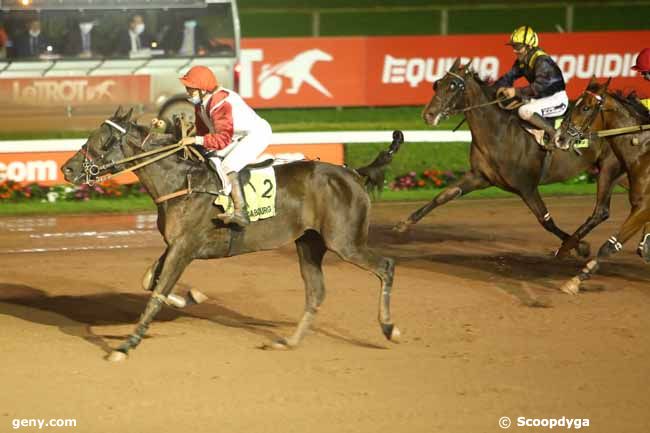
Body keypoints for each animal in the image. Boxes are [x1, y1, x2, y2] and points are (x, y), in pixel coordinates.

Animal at [59, 108, 400, 362]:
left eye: (103, 141)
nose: (67, 169)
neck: (180, 182)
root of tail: (353, 173)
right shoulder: (176, 245)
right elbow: (149, 281)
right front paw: (190, 297)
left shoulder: (184, 247)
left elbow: (155, 294)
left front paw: (126, 345)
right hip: (309, 243)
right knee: (315, 292)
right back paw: (288, 342)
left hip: (345, 241)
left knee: (385, 266)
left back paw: (389, 328)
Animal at [394, 59, 628, 258]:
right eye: (437, 84)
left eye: (453, 86)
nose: (428, 115)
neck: (499, 133)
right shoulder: (480, 177)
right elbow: (443, 196)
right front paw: (404, 223)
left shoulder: (527, 187)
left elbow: (546, 221)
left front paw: (578, 246)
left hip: (609, 168)